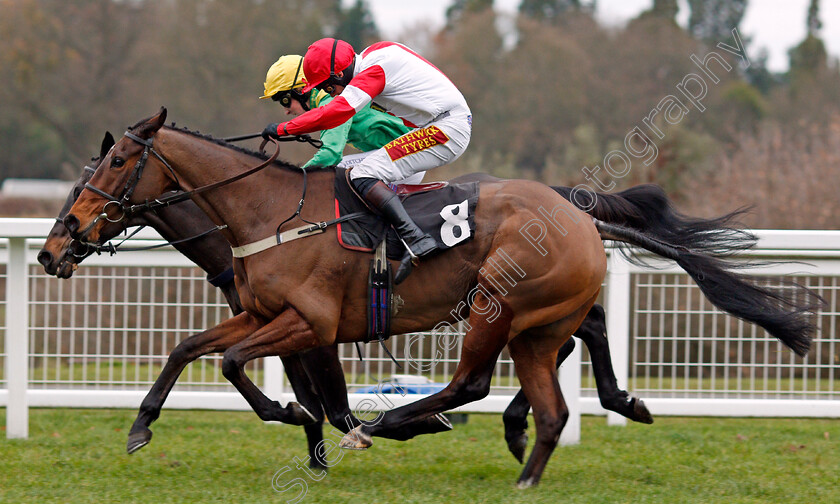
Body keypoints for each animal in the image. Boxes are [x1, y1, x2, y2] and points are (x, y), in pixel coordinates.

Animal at [64, 108, 820, 486]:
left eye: (118, 162)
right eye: (85, 171)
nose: (56, 244)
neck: (269, 213)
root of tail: (578, 212)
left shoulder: (308, 324)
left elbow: (266, 379)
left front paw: (302, 425)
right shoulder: (259, 314)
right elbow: (191, 348)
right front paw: (141, 426)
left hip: (496, 303)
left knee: (477, 380)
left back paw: (415, 423)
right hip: (535, 310)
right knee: (580, 337)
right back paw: (597, 406)